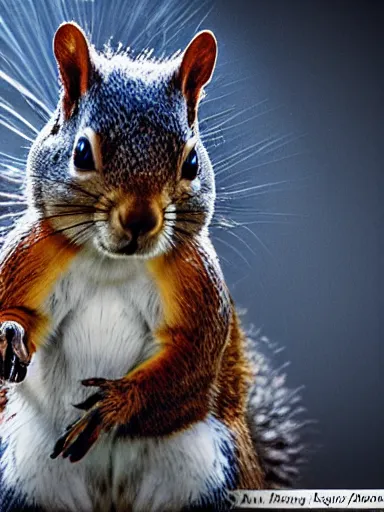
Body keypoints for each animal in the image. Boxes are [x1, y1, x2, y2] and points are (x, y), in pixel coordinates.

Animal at [0, 21, 306, 512]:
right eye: (81, 152)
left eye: (192, 161)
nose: (140, 220)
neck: (111, 262)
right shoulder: (34, 253)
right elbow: (17, 310)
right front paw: (9, 334)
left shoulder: (196, 280)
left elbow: (190, 358)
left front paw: (116, 404)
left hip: (212, 482)